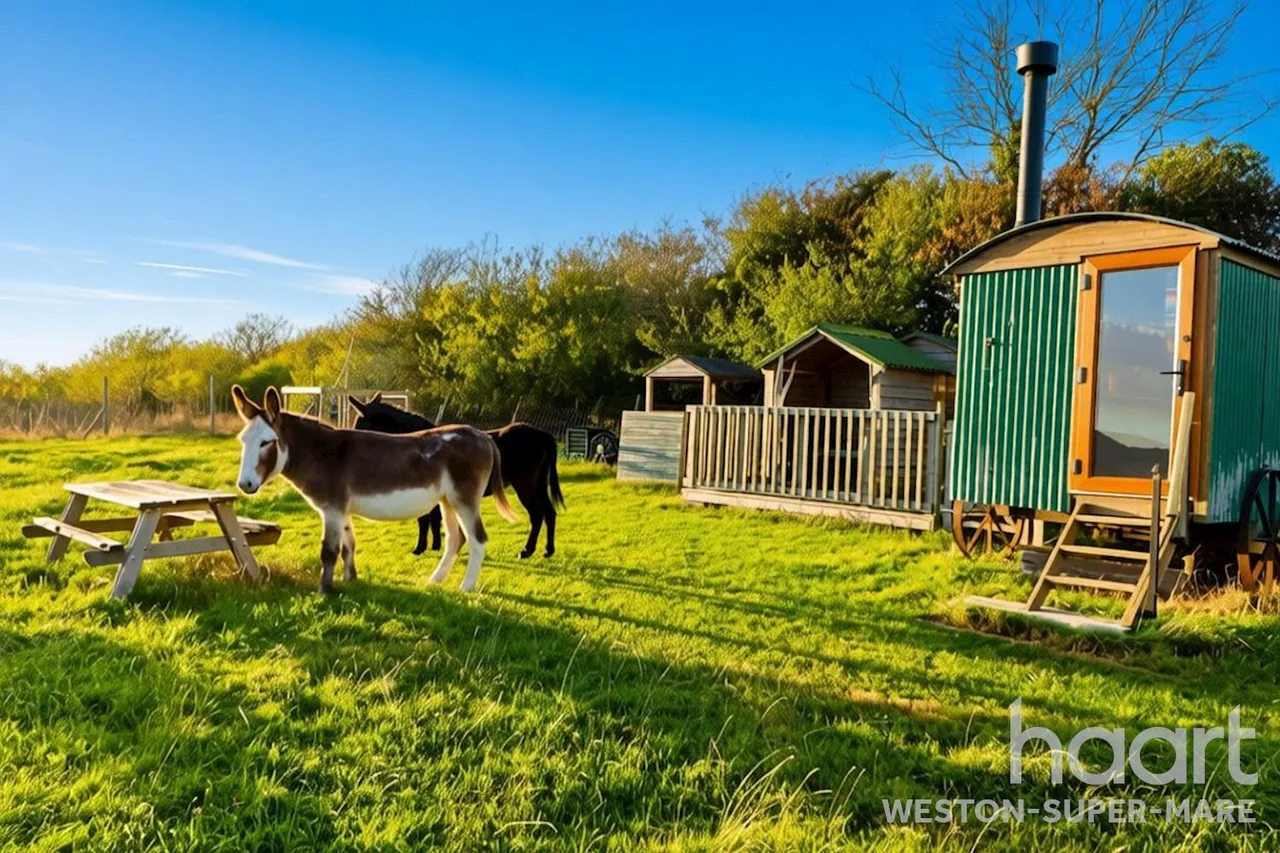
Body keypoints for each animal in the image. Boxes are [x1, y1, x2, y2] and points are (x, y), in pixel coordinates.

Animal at [232, 385, 517, 594]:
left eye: (266, 443)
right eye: (242, 441)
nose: (245, 485)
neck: (322, 454)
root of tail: (483, 435)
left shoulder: (331, 510)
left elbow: (329, 551)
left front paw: (324, 591)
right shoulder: (342, 510)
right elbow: (349, 546)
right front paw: (350, 580)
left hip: (464, 499)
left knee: (477, 539)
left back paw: (466, 587)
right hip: (447, 501)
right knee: (455, 539)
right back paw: (435, 581)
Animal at [349, 394, 564, 559]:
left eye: (359, 423)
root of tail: (541, 434)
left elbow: (424, 519)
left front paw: (420, 548)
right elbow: (434, 518)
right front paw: (436, 546)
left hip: (525, 486)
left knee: (537, 515)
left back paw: (527, 551)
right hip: (538, 485)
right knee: (549, 513)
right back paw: (548, 550)